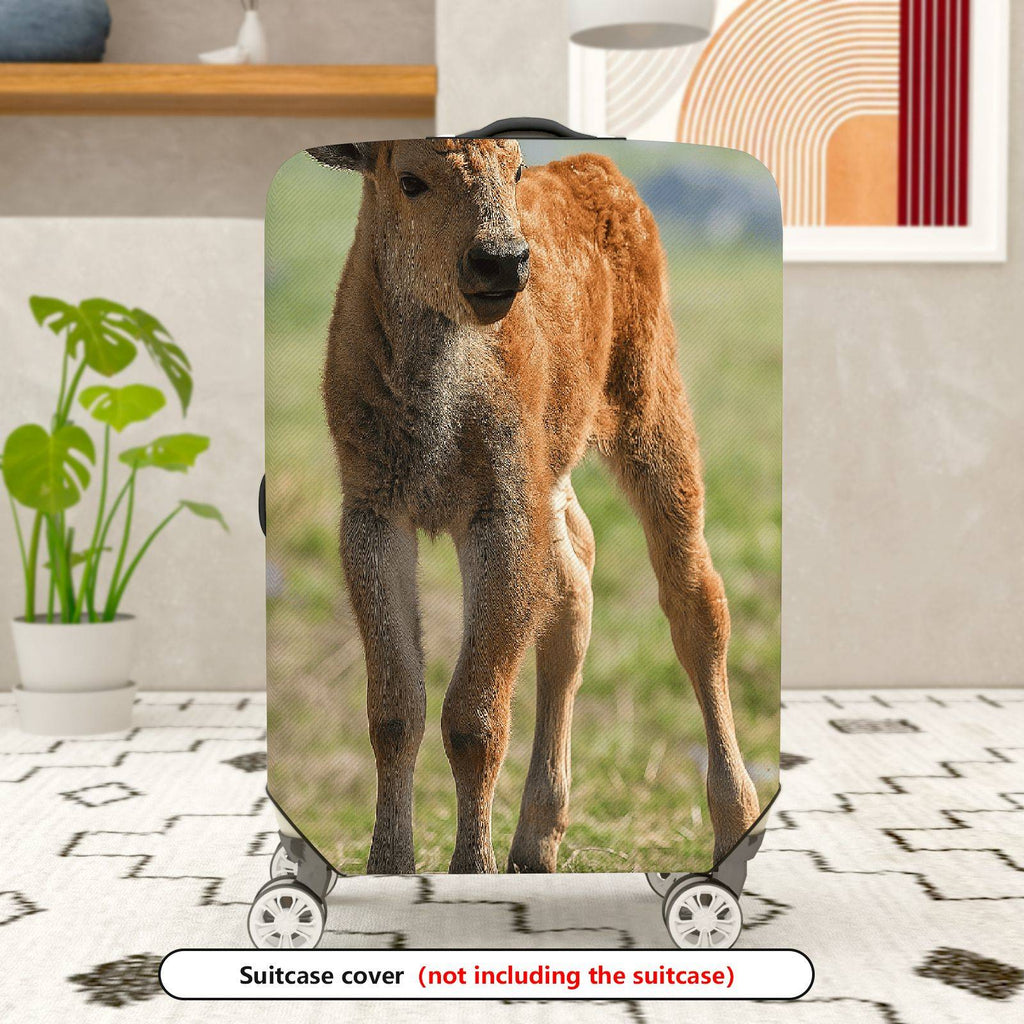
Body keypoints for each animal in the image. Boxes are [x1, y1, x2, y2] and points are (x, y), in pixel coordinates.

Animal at [308, 138, 759, 875]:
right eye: (410, 180)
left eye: (514, 168)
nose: (502, 261)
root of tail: (596, 172)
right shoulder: (375, 514)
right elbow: (395, 709)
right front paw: (391, 864)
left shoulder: (500, 515)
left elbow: (474, 715)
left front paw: (471, 867)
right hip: (558, 470)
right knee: (574, 592)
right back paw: (535, 841)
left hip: (652, 411)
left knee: (695, 600)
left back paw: (734, 824)